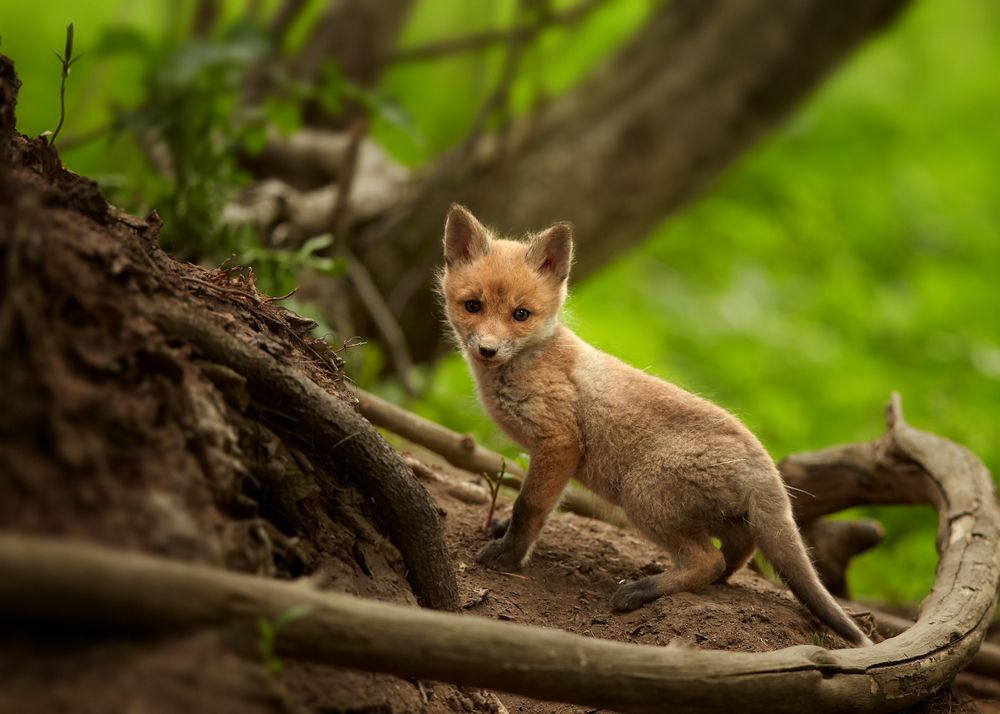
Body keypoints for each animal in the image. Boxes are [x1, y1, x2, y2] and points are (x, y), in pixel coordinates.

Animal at [438, 204, 872, 647]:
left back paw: (642, 590)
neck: (531, 362)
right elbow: (536, 504)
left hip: (642, 496)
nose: (487, 349)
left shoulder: (559, 442)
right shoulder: (551, 457)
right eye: (473, 306)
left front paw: (508, 556)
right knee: (737, 550)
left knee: (708, 560)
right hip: (713, 515)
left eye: (520, 315)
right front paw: (503, 532)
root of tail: (765, 464)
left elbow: (529, 507)